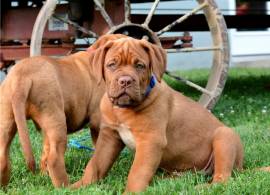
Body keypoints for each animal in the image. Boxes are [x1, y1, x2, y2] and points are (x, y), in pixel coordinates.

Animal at [0, 33, 127, 187]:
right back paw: (65, 186)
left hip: (9, 119)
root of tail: (22, 77)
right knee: (54, 158)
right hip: (57, 120)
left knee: (4, 155)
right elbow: (100, 148)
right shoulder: (98, 122)